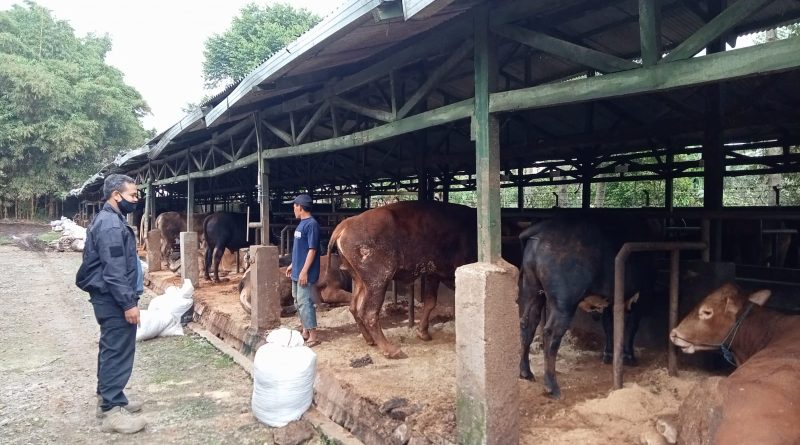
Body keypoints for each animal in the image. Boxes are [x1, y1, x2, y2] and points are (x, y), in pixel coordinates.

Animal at [326, 201, 476, 358]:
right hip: (379, 282)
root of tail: (346, 224)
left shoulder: (433, 274)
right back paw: (391, 350)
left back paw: (370, 340)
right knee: (369, 313)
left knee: (354, 307)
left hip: (360, 281)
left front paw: (423, 334)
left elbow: (430, 302)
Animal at [520, 219, 656, 398]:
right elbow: (631, 328)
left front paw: (608, 354)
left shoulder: (610, 300)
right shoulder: (640, 296)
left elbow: (609, 326)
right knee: (551, 333)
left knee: (527, 324)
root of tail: (542, 227)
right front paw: (630, 357)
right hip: (564, 303)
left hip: (533, 290)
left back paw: (526, 372)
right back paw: (552, 386)